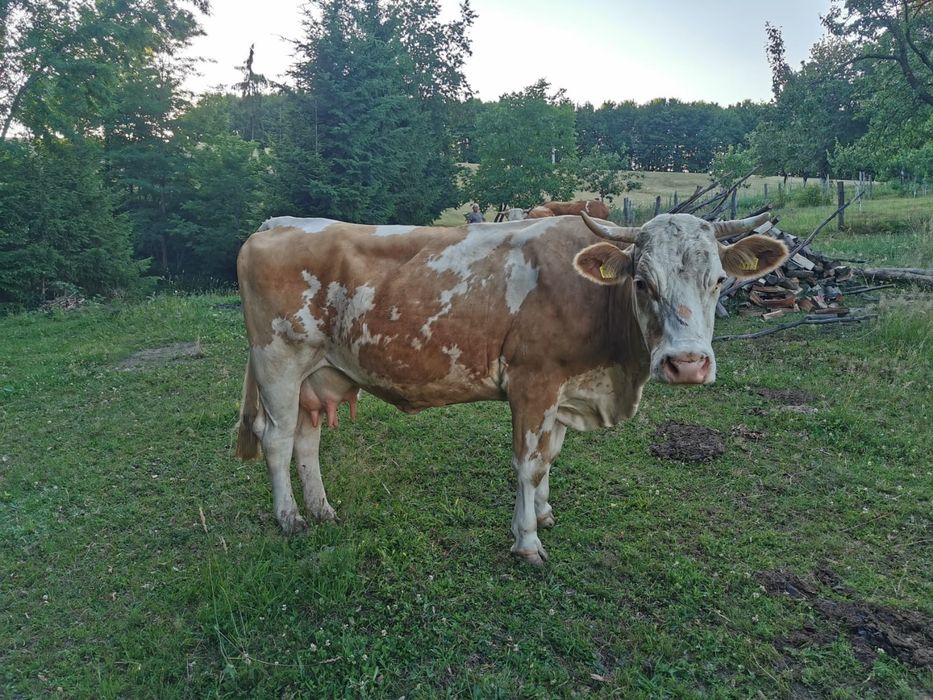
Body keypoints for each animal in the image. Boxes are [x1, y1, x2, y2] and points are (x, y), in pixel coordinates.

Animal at [236, 212, 788, 564]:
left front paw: (542, 513)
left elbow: (549, 456)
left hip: (316, 373)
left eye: (718, 280)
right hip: (278, 362)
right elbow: (528, 462)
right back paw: (290, 517)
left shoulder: (563, 390)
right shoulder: (533, 382)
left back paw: (321, 508)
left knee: (306, 439)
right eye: (642, 282)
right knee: (277, 439)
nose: (687, 364)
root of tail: (276, 224)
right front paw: (527, 541)